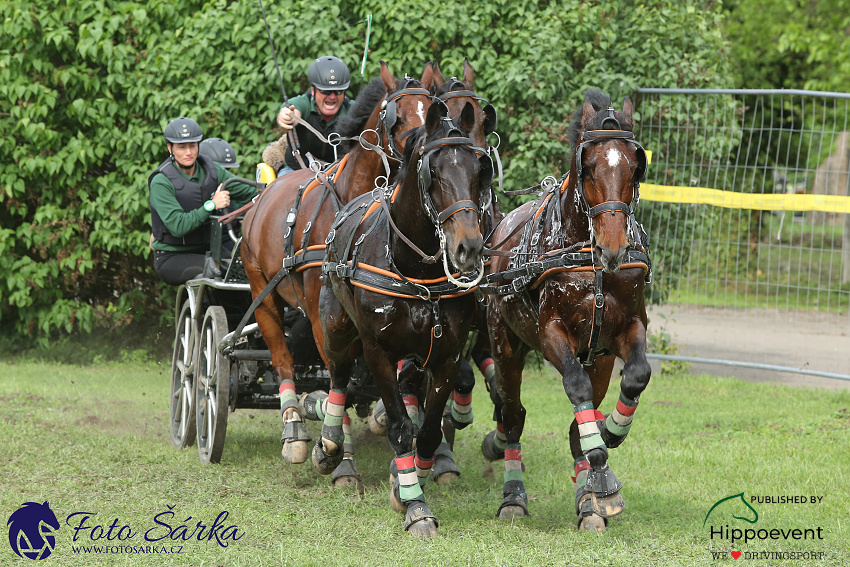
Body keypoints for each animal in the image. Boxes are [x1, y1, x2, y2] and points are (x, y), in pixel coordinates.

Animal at [318, 100, 490, 540]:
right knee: (338, 376)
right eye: (435, 172)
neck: (415, 271)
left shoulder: (446, 356)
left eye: (478, 169)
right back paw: (328, 444)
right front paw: (415, 507)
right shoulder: (378, 353)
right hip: (337, 327)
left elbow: (427, 432)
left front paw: (406, 484)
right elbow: (399, 427)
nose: (468, 248)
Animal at [480, 89, 652, 532]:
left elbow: (636, 376)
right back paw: (513, 495)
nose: (613, 246)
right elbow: (575, 386)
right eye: (587, 165)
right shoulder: (551, 334)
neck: (588, 260)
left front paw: (609, 437)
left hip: (600, 361)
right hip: (504, 344)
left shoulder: (624, 331)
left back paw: (588, 495)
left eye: (634, 166)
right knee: (513, 415)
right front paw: (602, 470)